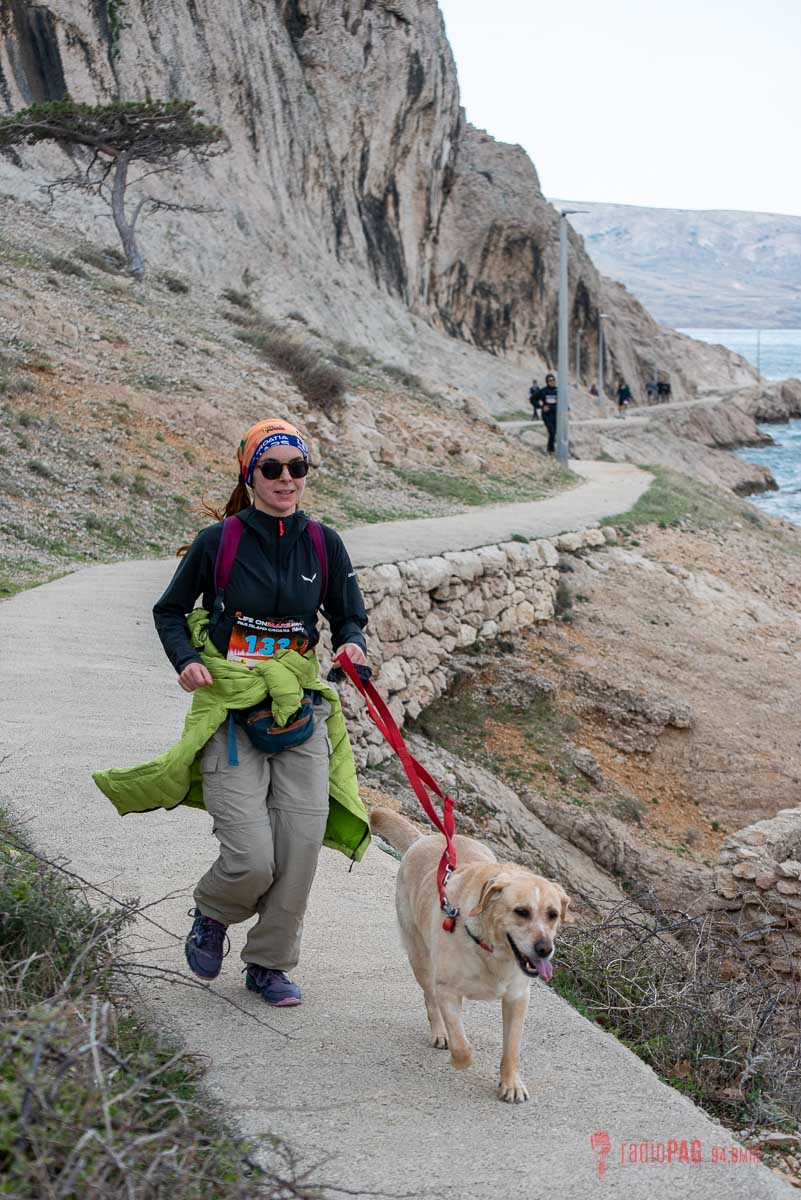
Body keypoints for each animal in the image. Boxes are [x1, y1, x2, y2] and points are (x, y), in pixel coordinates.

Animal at [370, 807, 570, 1103]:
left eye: (553, 914)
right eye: (521, 912)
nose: (545, 949)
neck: (491, 950)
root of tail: (424, 838)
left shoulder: (517, 998)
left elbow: (512, 1048)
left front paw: (511, 1084)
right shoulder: (447, 991)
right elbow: (463, 1047)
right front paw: (458, 1058)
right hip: (420, 959)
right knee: (430, 999)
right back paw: (440, 1032)